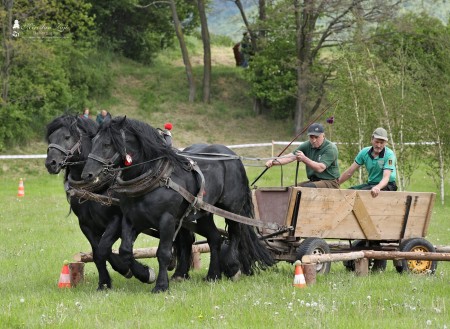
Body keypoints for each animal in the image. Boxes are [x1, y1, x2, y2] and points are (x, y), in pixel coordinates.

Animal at [44, 114, 156, 290]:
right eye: (50, 138)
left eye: (67, 137)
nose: (51, 163)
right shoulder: (86, 224)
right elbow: (98, 252)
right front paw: (105, 282)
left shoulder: (117, 220)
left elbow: (104, 248)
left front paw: (140, 272)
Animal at [80, 116, 274, 292]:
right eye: (93, 141)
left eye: (107, 144)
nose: (87, 174)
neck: (154, 177)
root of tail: (232, 155)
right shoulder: (130, 219)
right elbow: (125, 250)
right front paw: (145, 274)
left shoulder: (167, 220)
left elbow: (163, 253)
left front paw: (161, 285)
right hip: (203, 212)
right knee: (215, 238)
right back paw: (213, 275)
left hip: (232, 207)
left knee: (236, 233)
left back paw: (233, 268)